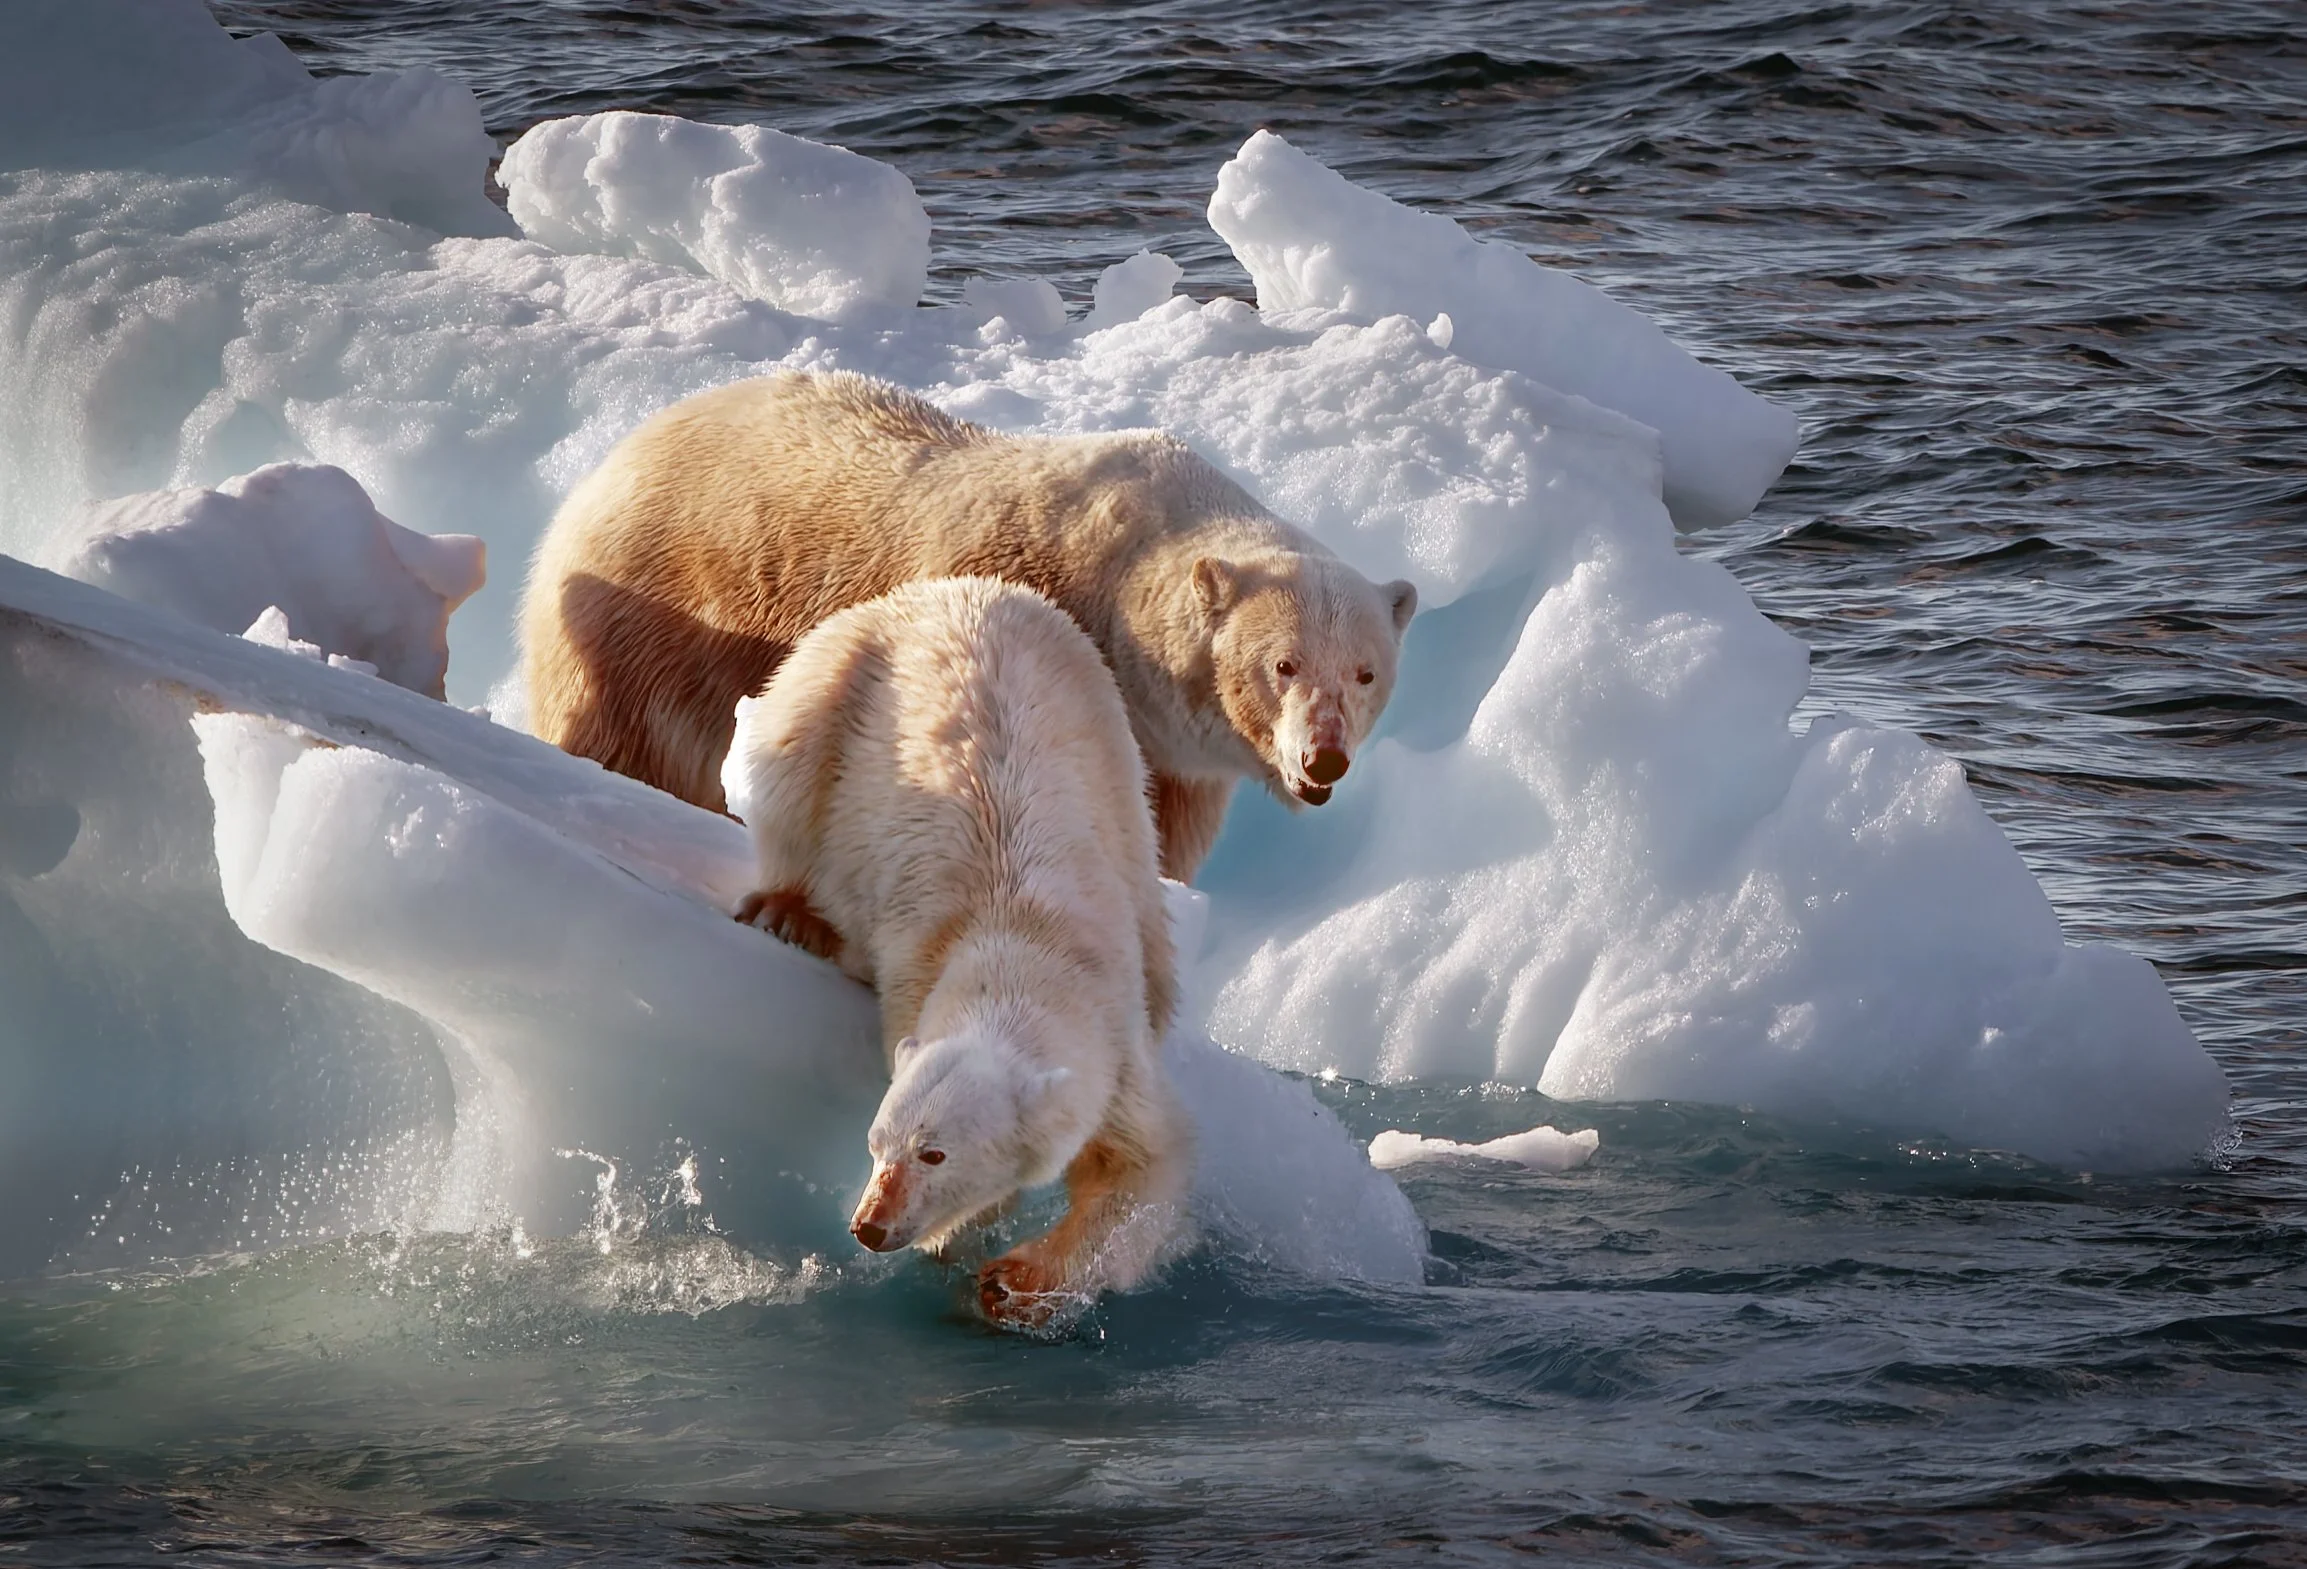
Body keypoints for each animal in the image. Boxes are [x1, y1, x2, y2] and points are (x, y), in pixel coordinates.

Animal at [520, 369, 1416, 883]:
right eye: (1283, 664)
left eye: (1365, 672)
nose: (1324, 757)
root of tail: (603, 465)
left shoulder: (1172, 758)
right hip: (647, 626)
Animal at [721, 575, 1189, 1329]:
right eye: (876, 1141)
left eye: (934, 1153)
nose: (870, 1227)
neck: (1023, 940)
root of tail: (958, 587)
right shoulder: (913, 967)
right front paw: (967, 1246)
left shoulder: (1118, 1043)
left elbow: (1142, 1168)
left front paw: (1015, 1282)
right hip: (842, 678)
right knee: (788, 773)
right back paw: (785, 911)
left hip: (1122, 756)